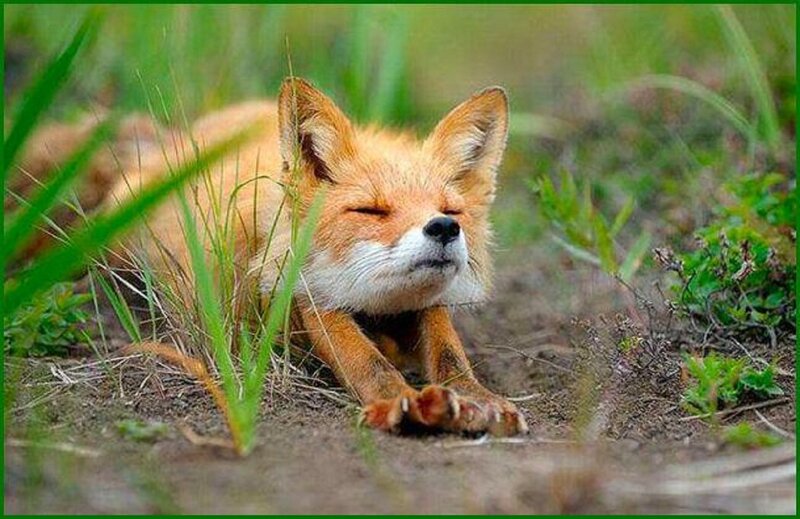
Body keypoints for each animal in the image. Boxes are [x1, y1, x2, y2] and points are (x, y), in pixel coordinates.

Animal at [16, 78, 528, 436]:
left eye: (451, 211)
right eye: (370, 210)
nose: (443, 229)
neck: (380, 309)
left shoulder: (425, 303)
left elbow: (447, 350)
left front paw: (476, 398)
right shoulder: (297, 289)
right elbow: (360, 354)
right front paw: (395, 400)